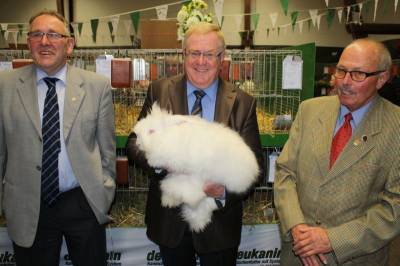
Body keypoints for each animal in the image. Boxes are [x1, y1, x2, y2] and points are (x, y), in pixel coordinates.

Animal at [134, 103, 260, 232]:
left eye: (151, 131)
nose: (138, 143)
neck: (170, 138)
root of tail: (254, 169)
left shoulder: (193, 174)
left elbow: (180, 187)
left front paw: (176, 196)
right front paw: (169, 200)